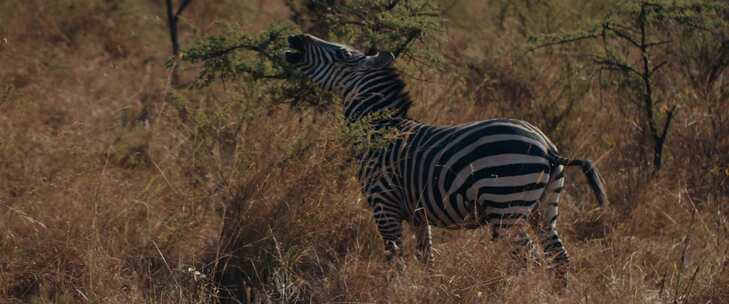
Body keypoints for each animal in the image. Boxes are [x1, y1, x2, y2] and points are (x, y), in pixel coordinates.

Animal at [284, 33, 608, 274]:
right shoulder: (419, 213)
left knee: (532, 261)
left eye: (342, 54)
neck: (380, 131)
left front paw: (395, 291)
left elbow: (396, 262)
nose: (295, 37)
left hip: (507, 204)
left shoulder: (383, 206)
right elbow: (426, 259)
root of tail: (548, 148)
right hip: (544, 208)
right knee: (559, 259)